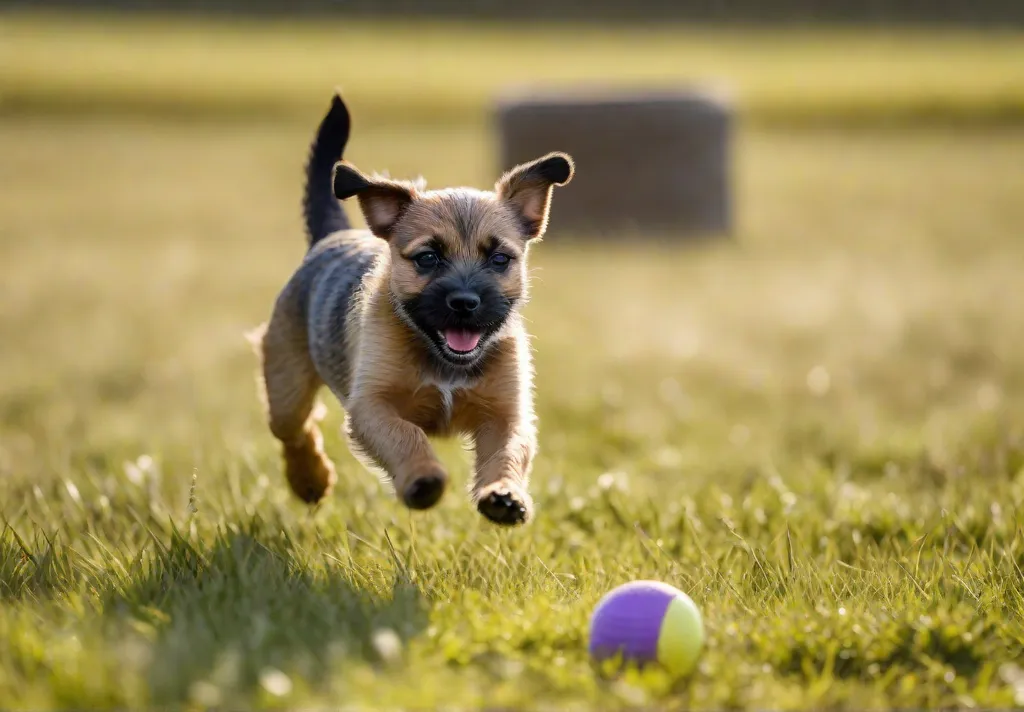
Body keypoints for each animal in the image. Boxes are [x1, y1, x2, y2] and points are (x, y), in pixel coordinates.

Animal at [253, 91, 577, 524]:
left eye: (499, 259)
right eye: (427, 258)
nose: (465, 302)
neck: (442, 360)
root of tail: (333, 235)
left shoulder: (506, 414)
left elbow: (507, 453)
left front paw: (504, 495)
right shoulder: (372, 406)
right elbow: (406, 437)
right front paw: (423, 479)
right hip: (285, 385)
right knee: (296, 429)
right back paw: (311, 479)